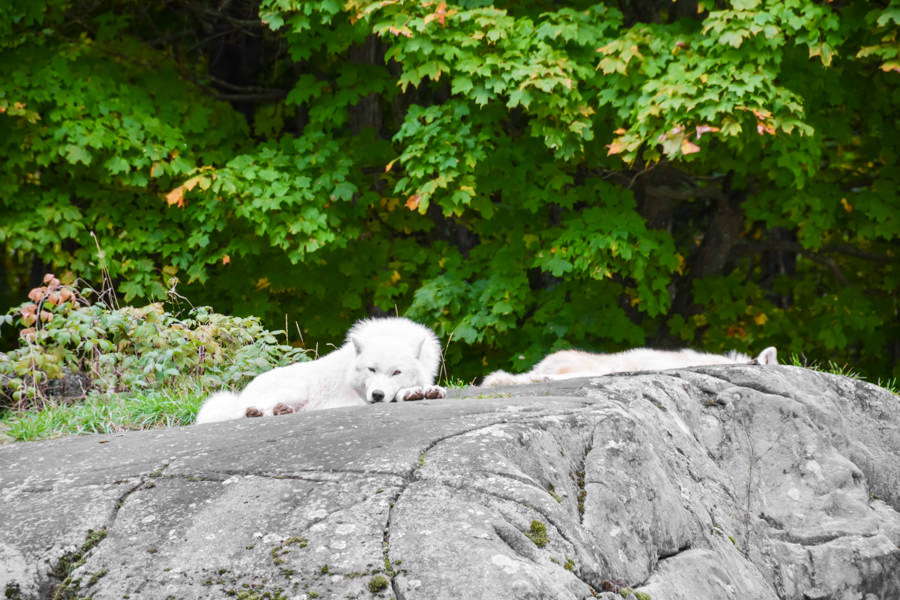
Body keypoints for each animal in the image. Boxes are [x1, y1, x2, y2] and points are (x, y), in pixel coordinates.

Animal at [199, 316, 448, 424]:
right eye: (371, 369)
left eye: (397, 372)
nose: (377, 395)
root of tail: (241, 395)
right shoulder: (361, 399)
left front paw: (425, 391)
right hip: (296, 389)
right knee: (237, 413)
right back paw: (259, 412)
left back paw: (281, 411)